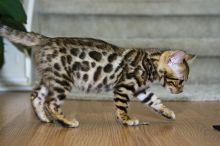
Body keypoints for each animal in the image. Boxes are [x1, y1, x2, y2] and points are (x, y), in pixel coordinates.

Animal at [0, 23, 196, 127]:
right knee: (51, 102)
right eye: (179, 81)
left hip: (50, 78)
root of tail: (46, 39)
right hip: (62, 80)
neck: (148, 63)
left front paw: (168, 112)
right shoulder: (123, 87)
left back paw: (44, 119)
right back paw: (68, 122)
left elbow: (155, 101)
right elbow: (122, 107)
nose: (180, 92)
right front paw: (126, 120)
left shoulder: (142, 90)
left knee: (36, 96)